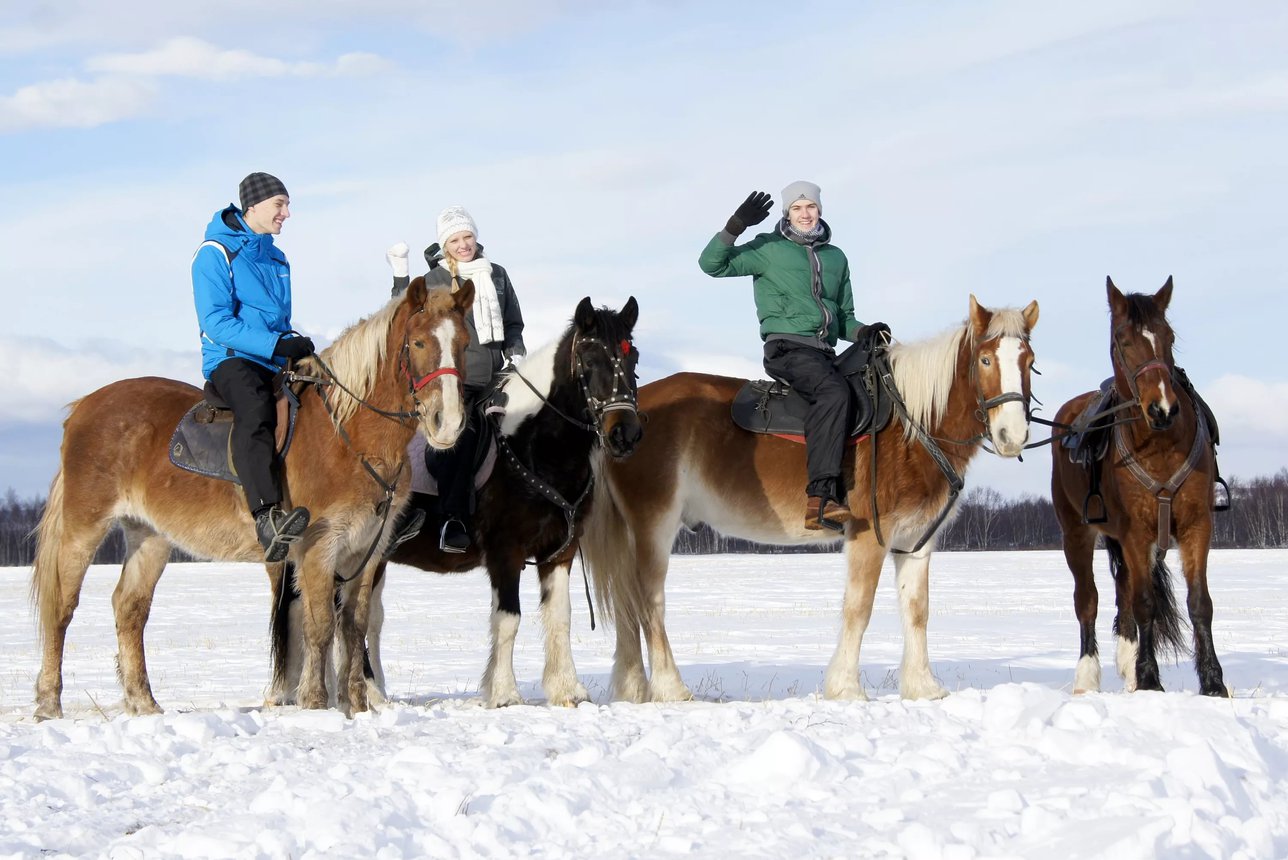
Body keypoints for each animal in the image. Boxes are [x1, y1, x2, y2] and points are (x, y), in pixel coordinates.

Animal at [32, 279, 476, 715]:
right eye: (418, 342)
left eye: (465, 343)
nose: (448, 423)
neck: (349, 436)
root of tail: (82, 407)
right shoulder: (319, 546)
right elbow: (319, 626)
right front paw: (317, 703)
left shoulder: (366, 551)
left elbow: (354, 626)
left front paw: (358, 706)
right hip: (84, 526)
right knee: (63, 606)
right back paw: (49, 703)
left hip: (149, 535)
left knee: (130, 608)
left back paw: (144, 703)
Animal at [582, 293, 1035, 700]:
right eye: (986, 360)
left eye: (1029, 362)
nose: (1012, 436)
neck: (913, 425)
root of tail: (620, 418)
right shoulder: (869, 535)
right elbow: (859, 608)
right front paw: (846, 687)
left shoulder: (916, 541)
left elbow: (917, 611)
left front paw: (923, 687)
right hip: (654, 522)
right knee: (648, 600)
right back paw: (670, 688)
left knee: (627, 602)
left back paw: (633, 688)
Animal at [1045, 279, 1226, 695]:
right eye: (1122, 341)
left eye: (1169, 337)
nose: (1163, 409)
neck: (1160, 445)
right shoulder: (1135, 532)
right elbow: (1145, 603)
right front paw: (1149, 679)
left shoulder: (1196, 525)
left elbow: (1199, 603)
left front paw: (1213, 682)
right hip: (1075, 534)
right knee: (1088, 600)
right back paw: (1088, 677)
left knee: (1122, 596)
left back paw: (1128, 665)